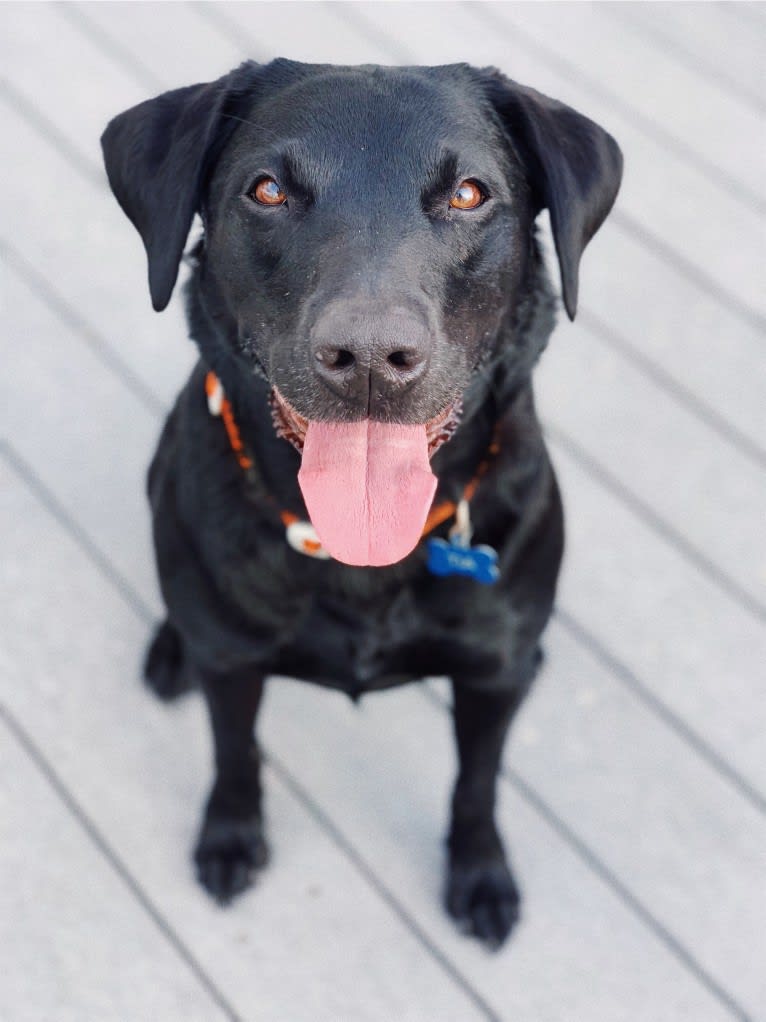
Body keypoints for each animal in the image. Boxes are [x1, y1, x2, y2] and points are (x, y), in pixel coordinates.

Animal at [100, 59, 625, 944]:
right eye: (268, 190)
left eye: (470, 194)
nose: (371, 358)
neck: (363, 556)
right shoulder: (233, 666)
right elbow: (234, 753)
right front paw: (230, 837)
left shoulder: (492, 680)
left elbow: (477, 783)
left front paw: (480, 876)